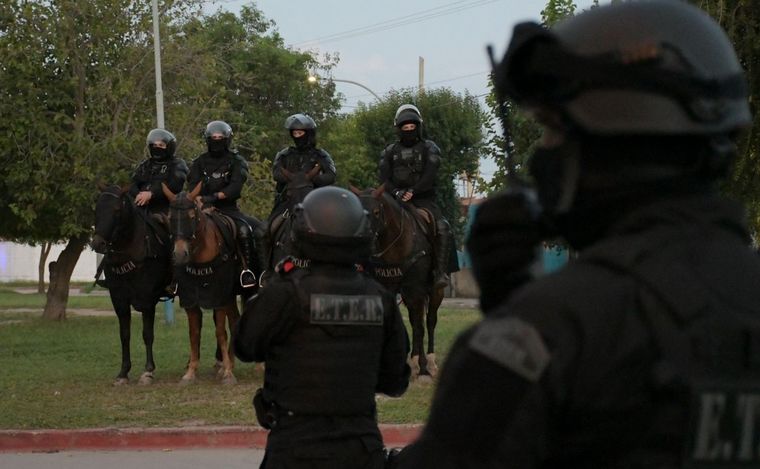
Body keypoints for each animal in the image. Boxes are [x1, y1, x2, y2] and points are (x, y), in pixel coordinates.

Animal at [163, 183, 255, 384]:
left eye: (192, 216)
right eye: (171, 218)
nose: (180, 254)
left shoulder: (218, 298)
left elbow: (220, 332)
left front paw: (227, 373)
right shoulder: (190, 300)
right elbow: (194, 333)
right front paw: (190, 373)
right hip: (231, 296)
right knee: (234, 321)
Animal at [352, 185, 446, 378]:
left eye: (376, 212)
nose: (366, 242)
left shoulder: (415, 290)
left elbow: (418, 327)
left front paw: (415, 363)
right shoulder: (389, 288)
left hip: (435, 292)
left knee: (429, 322)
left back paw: (430, 363)